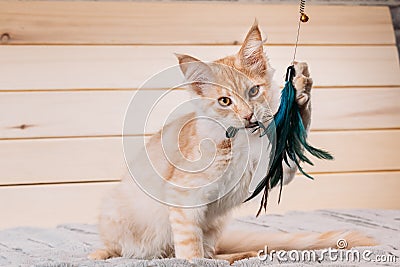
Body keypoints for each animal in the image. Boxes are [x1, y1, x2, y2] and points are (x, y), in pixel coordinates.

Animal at [88, 23, 376, 266]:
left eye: (253, 91)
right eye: (225, 101)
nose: (248, 116)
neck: (243, 142)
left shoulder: (273, 169)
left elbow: (295, 138)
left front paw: (300, 89)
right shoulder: (184, 196)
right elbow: (189, 244)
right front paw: (192, 262)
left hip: (216, 226)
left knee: (215, 253)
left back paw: (244, 255)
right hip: (118, 213)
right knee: (120, 249)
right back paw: (100, 254)